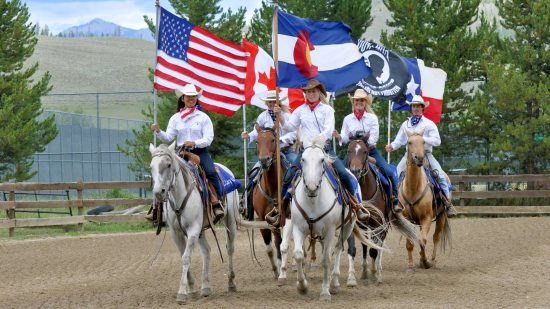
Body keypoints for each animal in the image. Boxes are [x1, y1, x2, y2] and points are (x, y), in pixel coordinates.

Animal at [149, 143, 239, 304]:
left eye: (168, 164)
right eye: (151, 167)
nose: (159, 192)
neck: (179, 197)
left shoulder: (193, 229)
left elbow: (186, 257)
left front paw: (182, 293)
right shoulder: (176, 233)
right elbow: (183, 256)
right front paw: (192, 289)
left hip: (230, 220)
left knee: (230, 248)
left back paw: (231, 283)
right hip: (202, 230)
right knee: (206, 251)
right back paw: (205, 287)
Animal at [284, 136, 388, 300]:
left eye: (321, 160)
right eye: (302, 159)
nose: (311, 187)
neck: (313, 200)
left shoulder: (330, 230)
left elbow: (327, 259)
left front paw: (325, 292)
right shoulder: (298, 227)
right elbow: (299, 255)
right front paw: (302, 286)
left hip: (348, 226)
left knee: (339, 249)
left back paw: (334, 282)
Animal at [344, 135, 422, 284]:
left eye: (365, 151)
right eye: (349, 151)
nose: (355, 171)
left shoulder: (378, 223)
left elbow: (375, 250)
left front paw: (375, 274)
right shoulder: (353, 223)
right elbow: (353, 249)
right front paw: (351, 278)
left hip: (384, 225)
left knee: (378, 246)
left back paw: (378, 272)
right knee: (366, 245)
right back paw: (365, 271)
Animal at [402, 127, 452, 268]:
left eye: (423, 142)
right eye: (409, 142)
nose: (419, 158)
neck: (413, 189)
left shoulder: (427, 218)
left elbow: (423, 240)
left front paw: (425, 261)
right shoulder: (406, 218)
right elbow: (410, 242)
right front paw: (410, 264)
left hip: (441, 216)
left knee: (436, 237)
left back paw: (433, 260)